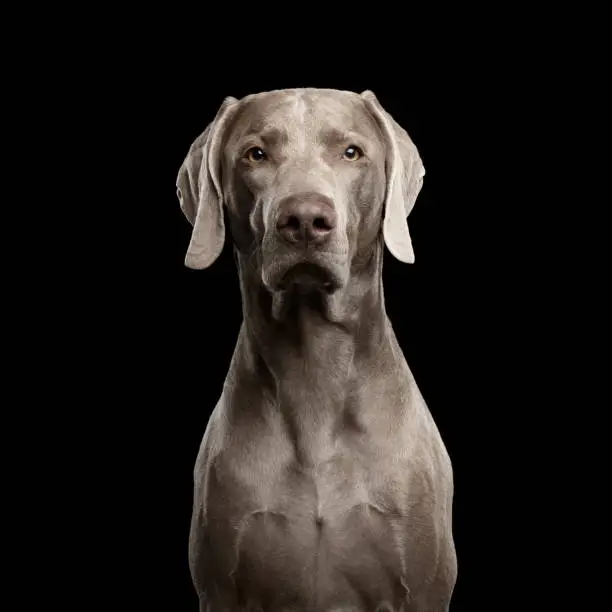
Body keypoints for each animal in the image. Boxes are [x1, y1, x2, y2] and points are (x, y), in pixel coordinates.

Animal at [175, 88, 456, 608]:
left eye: (351, 152)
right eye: (255, 154)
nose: (305, 219)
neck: (314, 372)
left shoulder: (423, 587)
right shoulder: (221, 587)